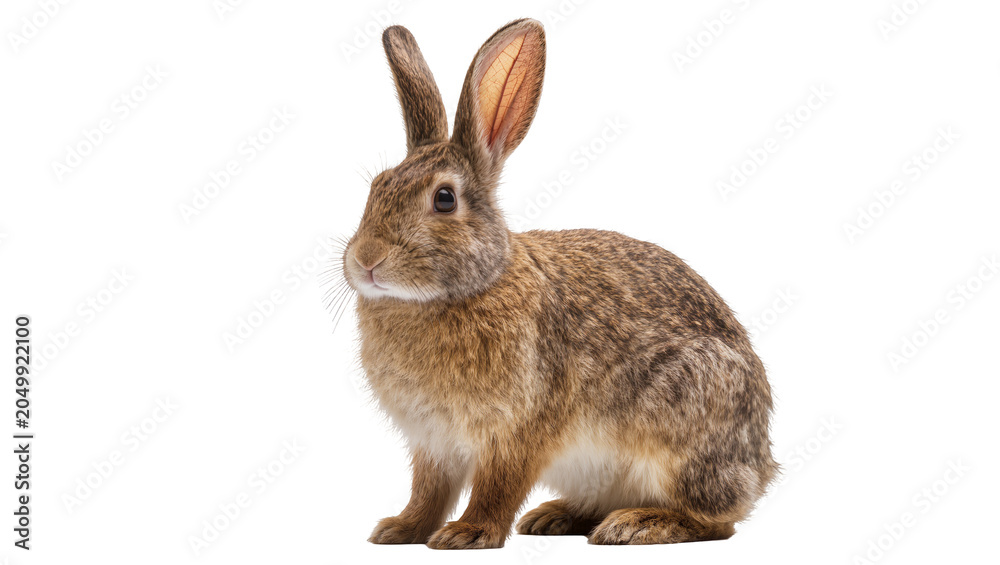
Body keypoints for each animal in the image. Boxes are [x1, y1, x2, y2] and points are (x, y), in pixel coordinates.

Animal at [340, 18, 777, 549]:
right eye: (375, 187)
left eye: (444, 199)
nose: (366, 260)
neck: (467, 288)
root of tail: (762, 467)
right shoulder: (433, 442)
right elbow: (427, 490)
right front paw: (400, 529)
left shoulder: (519, 430)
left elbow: (497, 487)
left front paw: (467, 533)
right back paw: (556, 517)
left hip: (686, 426)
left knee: (719, 520)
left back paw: (638, 523)